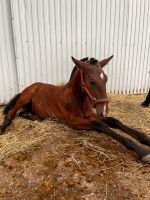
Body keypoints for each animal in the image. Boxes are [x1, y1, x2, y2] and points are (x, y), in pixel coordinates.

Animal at [0, 55, 150, 162]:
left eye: (106, 79)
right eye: (92, 82)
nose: (103, 110)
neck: (78, 100)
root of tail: (31, 86)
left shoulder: (92, 116)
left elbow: (114, 121)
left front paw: (145, 139)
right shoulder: (74, 122)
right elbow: (101, 125)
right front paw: (143, 152)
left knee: (24, 113)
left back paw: (35, 117)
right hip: (25, 98)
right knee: (11, 113)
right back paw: (3, 127)